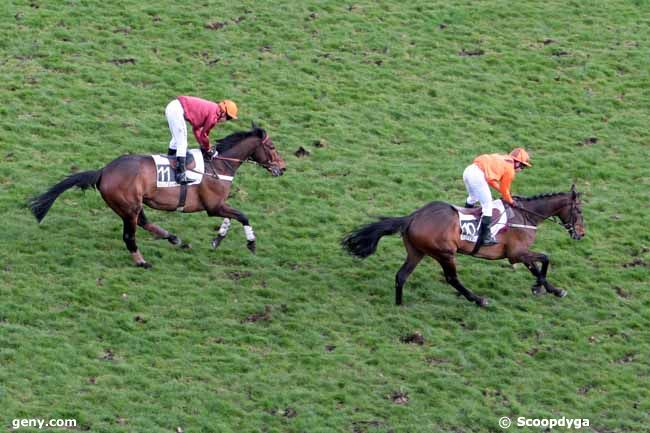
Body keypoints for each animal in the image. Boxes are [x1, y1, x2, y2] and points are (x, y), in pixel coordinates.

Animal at [29, 124, 284, 266]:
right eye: (271, 147)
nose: (282, 168)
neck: (219, 164)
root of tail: (103, 171)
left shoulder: (217, 205)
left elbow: (231, 217)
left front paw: (217, 238)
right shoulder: (213, 206)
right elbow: (242, 215)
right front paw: (251, 243)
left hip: (132, 205)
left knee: (144, 222)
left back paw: (173, 238)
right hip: (128, 206)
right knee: (129, 235)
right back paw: (142, 261)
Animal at [342, 186, 584, 308]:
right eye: (579, 210)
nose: (581, 234)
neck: (526, 216)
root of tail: (413, 217)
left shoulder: (518, 255)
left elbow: (538, 264)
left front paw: (545, 288)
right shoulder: (517, 254)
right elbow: (544, 259)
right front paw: (546, 288)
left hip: (416, 252)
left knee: (401, 276)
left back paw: (399, 305)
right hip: (445, 253)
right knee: (452, 279)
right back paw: (478, 299)